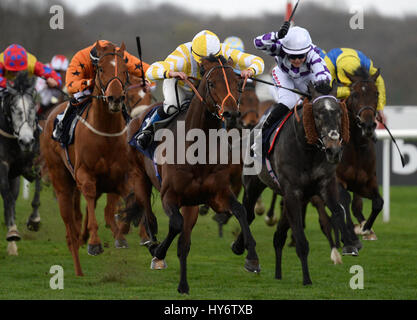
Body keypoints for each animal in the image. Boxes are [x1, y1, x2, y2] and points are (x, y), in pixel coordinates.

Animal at [40, 40, 132, 276]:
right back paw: (78, 265)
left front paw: (122, 235)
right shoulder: (85, 174)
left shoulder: (120, 176)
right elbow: (90, 201)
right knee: (69, 225)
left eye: (125, 70)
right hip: (61, 180)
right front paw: (94, 243)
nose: (115, 98)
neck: (106, 132)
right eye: (101, 69)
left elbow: (123, 202)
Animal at [125, 53, 258, 294]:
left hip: (191, 204)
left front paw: (250, 257)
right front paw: (158, 253)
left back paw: (183, 284)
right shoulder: (169, 195)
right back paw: (153, 247)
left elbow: (240, 210)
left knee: (184, 241)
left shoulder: (216, 195)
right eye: (212, 83)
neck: (197, 148)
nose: (231, 113)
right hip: (139, 178)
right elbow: (175, 225)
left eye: (237, 83)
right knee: (150, 216)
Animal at [236, 80, 356, 284]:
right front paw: (307, 279)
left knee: (278, 235)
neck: (307, 150)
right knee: (248, 213)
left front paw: (349, 245)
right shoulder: (292, 192)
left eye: (339, 113)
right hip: (254, 184)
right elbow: (301, 240)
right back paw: (244, 253)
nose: (334, 150)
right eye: (317, 114)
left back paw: (277, 273)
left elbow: (338, 210)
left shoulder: (325, 184)